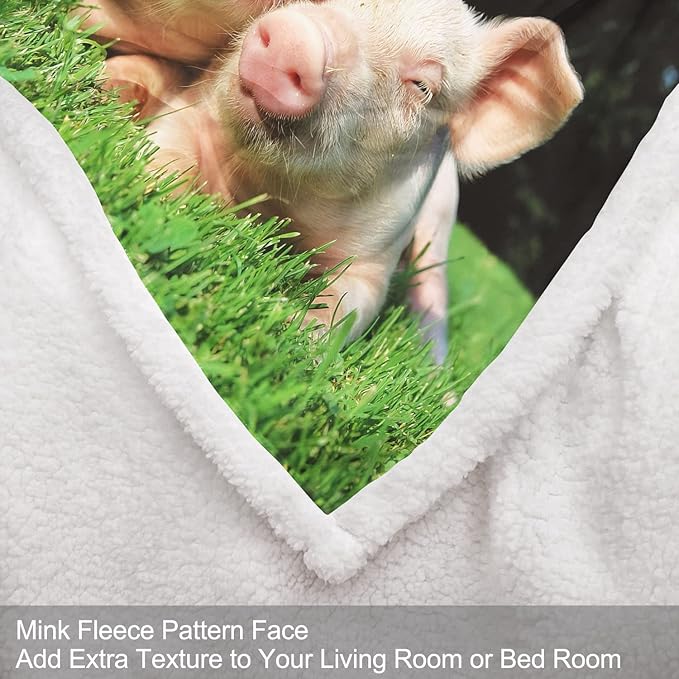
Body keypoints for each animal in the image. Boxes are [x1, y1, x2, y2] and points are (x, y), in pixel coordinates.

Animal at [86, 0, 584, 363]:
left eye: (422, 87)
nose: (297, 37)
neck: (276, 197)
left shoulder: (377, 255)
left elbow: (350, 304)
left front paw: (290, 333)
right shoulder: (196, 109)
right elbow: (165, 152)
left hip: (441, 220)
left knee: (433, 291)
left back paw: (435, 374)